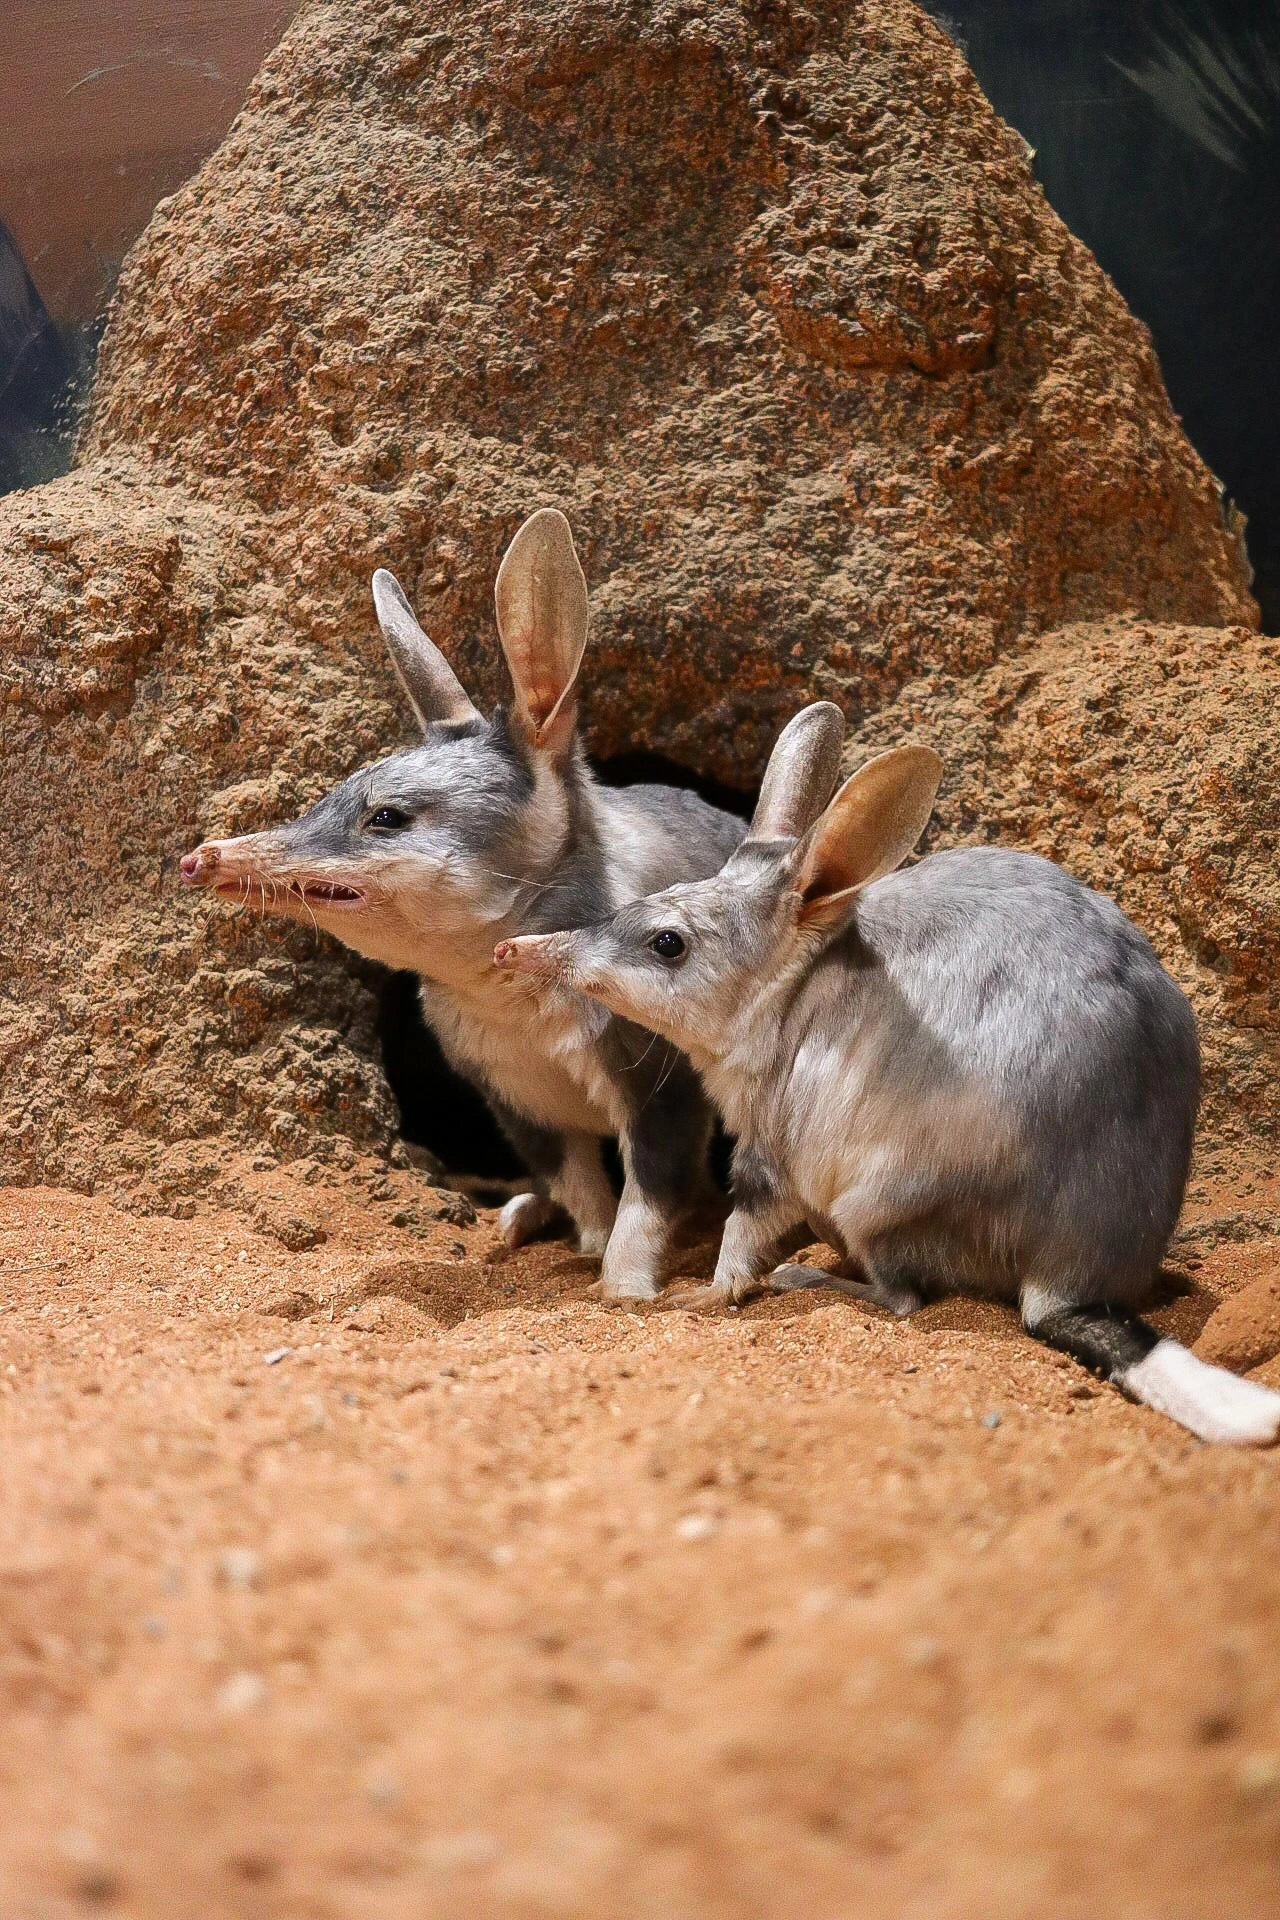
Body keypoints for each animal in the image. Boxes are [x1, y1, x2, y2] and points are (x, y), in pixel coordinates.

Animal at [180, 509, 753, 1301]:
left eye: (387, 817)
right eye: (329, 795)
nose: (199, 858)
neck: (504, 989)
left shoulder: (662, 1090)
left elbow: (647, 1203)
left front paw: (624, 1292)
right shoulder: (513, 1105)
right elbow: (584, 1192)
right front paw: (579, 1249)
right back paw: (518, 1214)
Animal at [496, 702, 1280, 1445]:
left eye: (668, 945)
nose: (516, 950)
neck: (789, 990)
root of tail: (1068, 1285)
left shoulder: (771, 1144)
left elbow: (741, 1233)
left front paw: (701, 1297)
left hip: (875, 1202)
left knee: (903, 1298)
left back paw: (809, 1273)